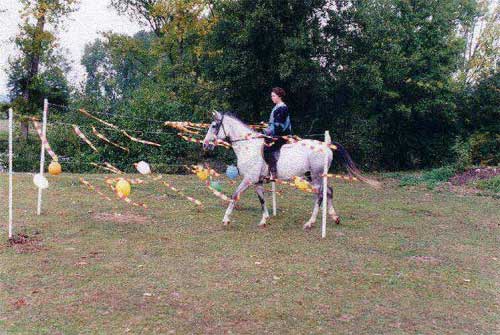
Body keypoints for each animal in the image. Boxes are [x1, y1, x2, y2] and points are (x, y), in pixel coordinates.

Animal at [203, 111, 378, 230]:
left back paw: (310, 222)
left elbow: (234, 195)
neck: (248, 146)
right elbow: (262, 200)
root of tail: (326, 146)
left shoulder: (249, 179)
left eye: (213, 126)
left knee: (321, 194)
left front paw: (226, 219)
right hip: (312, 177)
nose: (205, 145)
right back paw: (334, 217)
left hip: (316, 177)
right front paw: (264, 220)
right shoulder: (257, 181)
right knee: (328, 191)